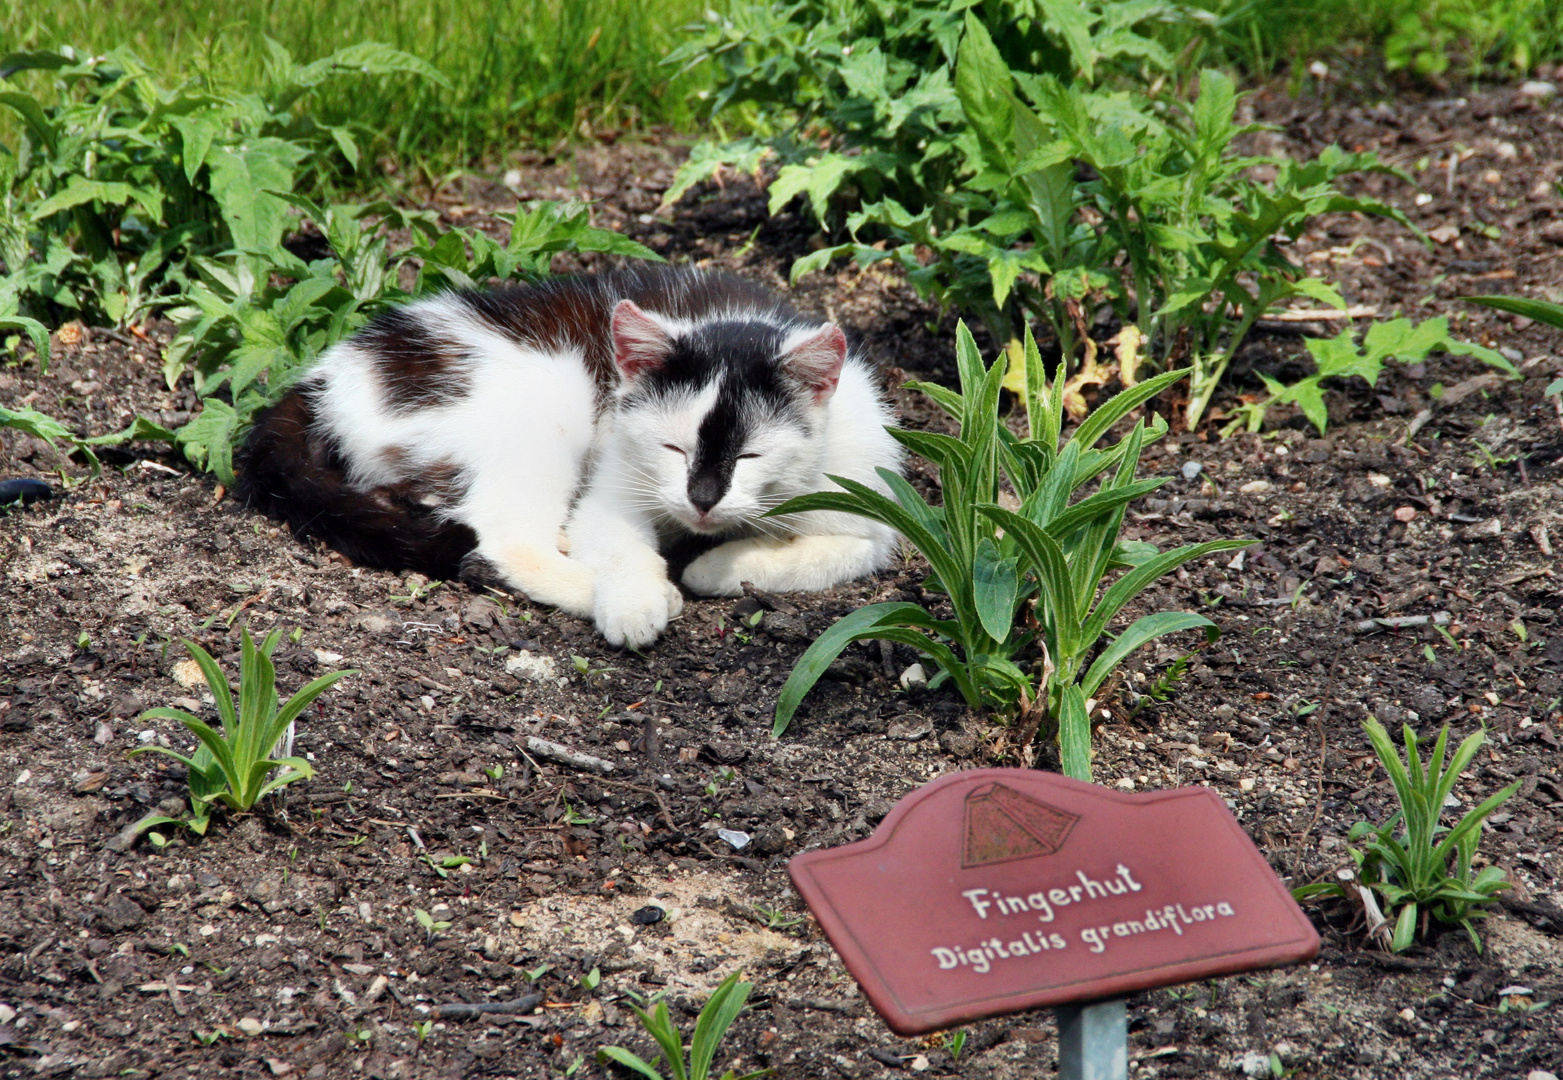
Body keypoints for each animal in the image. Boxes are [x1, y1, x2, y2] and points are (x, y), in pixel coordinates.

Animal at [239, 265, 912, 647]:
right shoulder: (614, 489)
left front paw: (716, 568)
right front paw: (640, 598)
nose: (701, 499)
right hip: (548, 393)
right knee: (501, 542)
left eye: (750, 456)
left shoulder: (872, 509)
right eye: (672, 446)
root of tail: (324, 377)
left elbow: (835, 553)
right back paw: (607, 585)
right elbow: (618, 543)